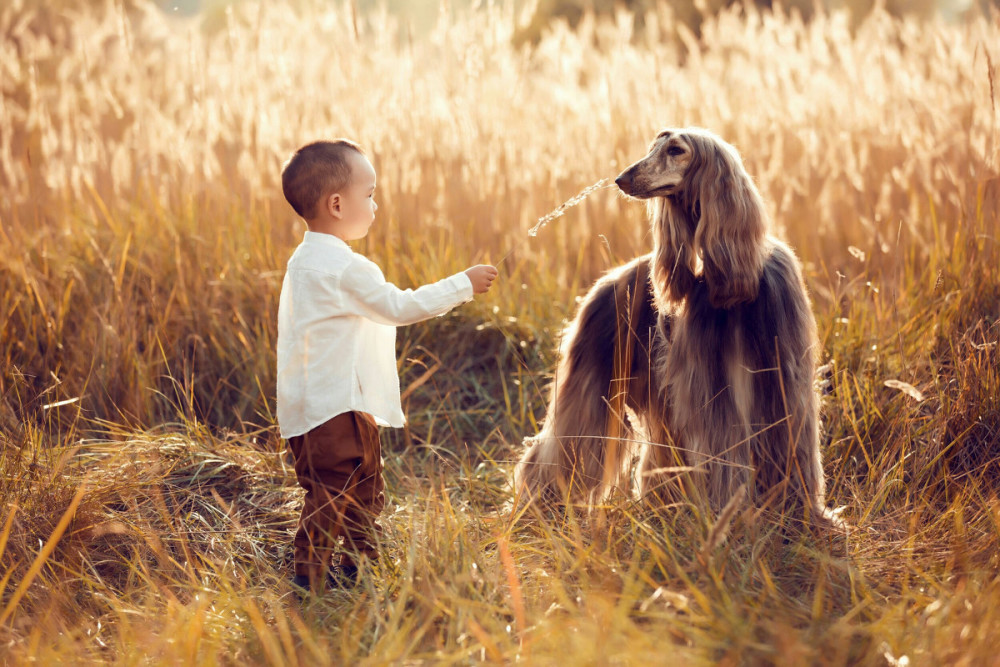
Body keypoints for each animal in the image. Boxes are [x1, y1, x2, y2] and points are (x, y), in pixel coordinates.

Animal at [516, 128, 836, 528]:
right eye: (652, 147)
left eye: (675, 150)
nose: (622, 179)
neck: (730, 286)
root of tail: (604, 283)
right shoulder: (710, 387)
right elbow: (722, 452)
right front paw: (726, 515)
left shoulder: (783, 383)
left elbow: (794, 446)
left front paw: (804, 516)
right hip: (594, 386)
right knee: (558, 452)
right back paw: (537, 510)